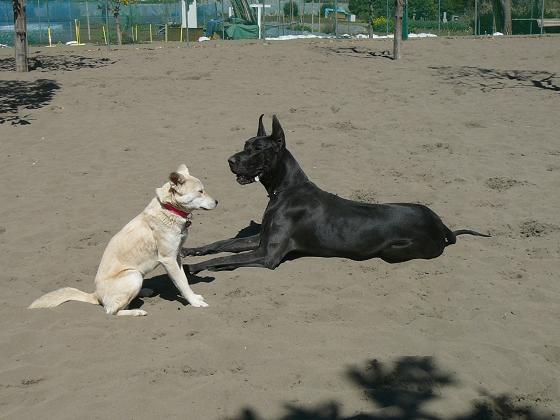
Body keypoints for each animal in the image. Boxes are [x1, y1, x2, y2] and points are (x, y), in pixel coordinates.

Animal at [28, 164, 218, 316]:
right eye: (200, 191)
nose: (217, 201)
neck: (169, 209)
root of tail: (96, 295)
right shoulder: (168, 259)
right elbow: (182, 283)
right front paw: (194, 302)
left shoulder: (176, 255)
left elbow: (183, 279)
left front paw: (194, 296)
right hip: (133, 275)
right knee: (112, 311)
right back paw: (136, 311)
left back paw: (145, 290)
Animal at [185, 115, 490, 274]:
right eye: (245, 144)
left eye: (258, 149)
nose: (230, 160)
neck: (286, 189)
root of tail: (441, 225)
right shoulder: (260, 240)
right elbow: (221, 244)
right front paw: (190, 250)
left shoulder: (267, 255)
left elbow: (223, 259)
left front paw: (193, 268)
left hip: (391, 251)